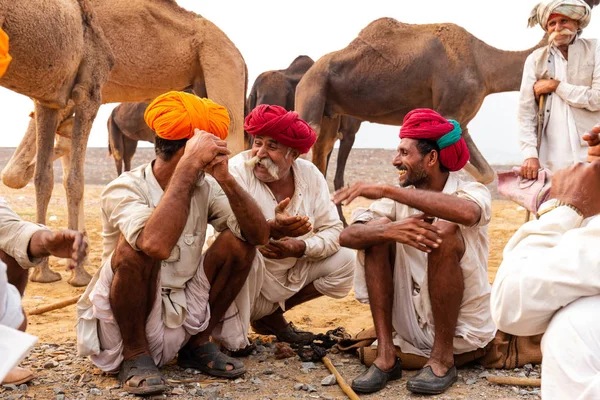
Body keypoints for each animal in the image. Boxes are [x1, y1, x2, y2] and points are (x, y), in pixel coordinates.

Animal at [0, 0, 246, 288]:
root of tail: (238, 55)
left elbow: (61, 175)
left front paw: (77, 270)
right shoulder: (55, 94)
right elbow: (36, 175)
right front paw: (50, 266)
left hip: (221, 66)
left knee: (234, 144)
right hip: (201, 81)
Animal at [296, 16, 552, 184]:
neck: (484, 65)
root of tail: (307, 74)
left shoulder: (462, 122)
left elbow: (486, 173)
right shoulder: (451, 110)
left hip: (330, 112)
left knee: (320, 152)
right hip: (312, 91)